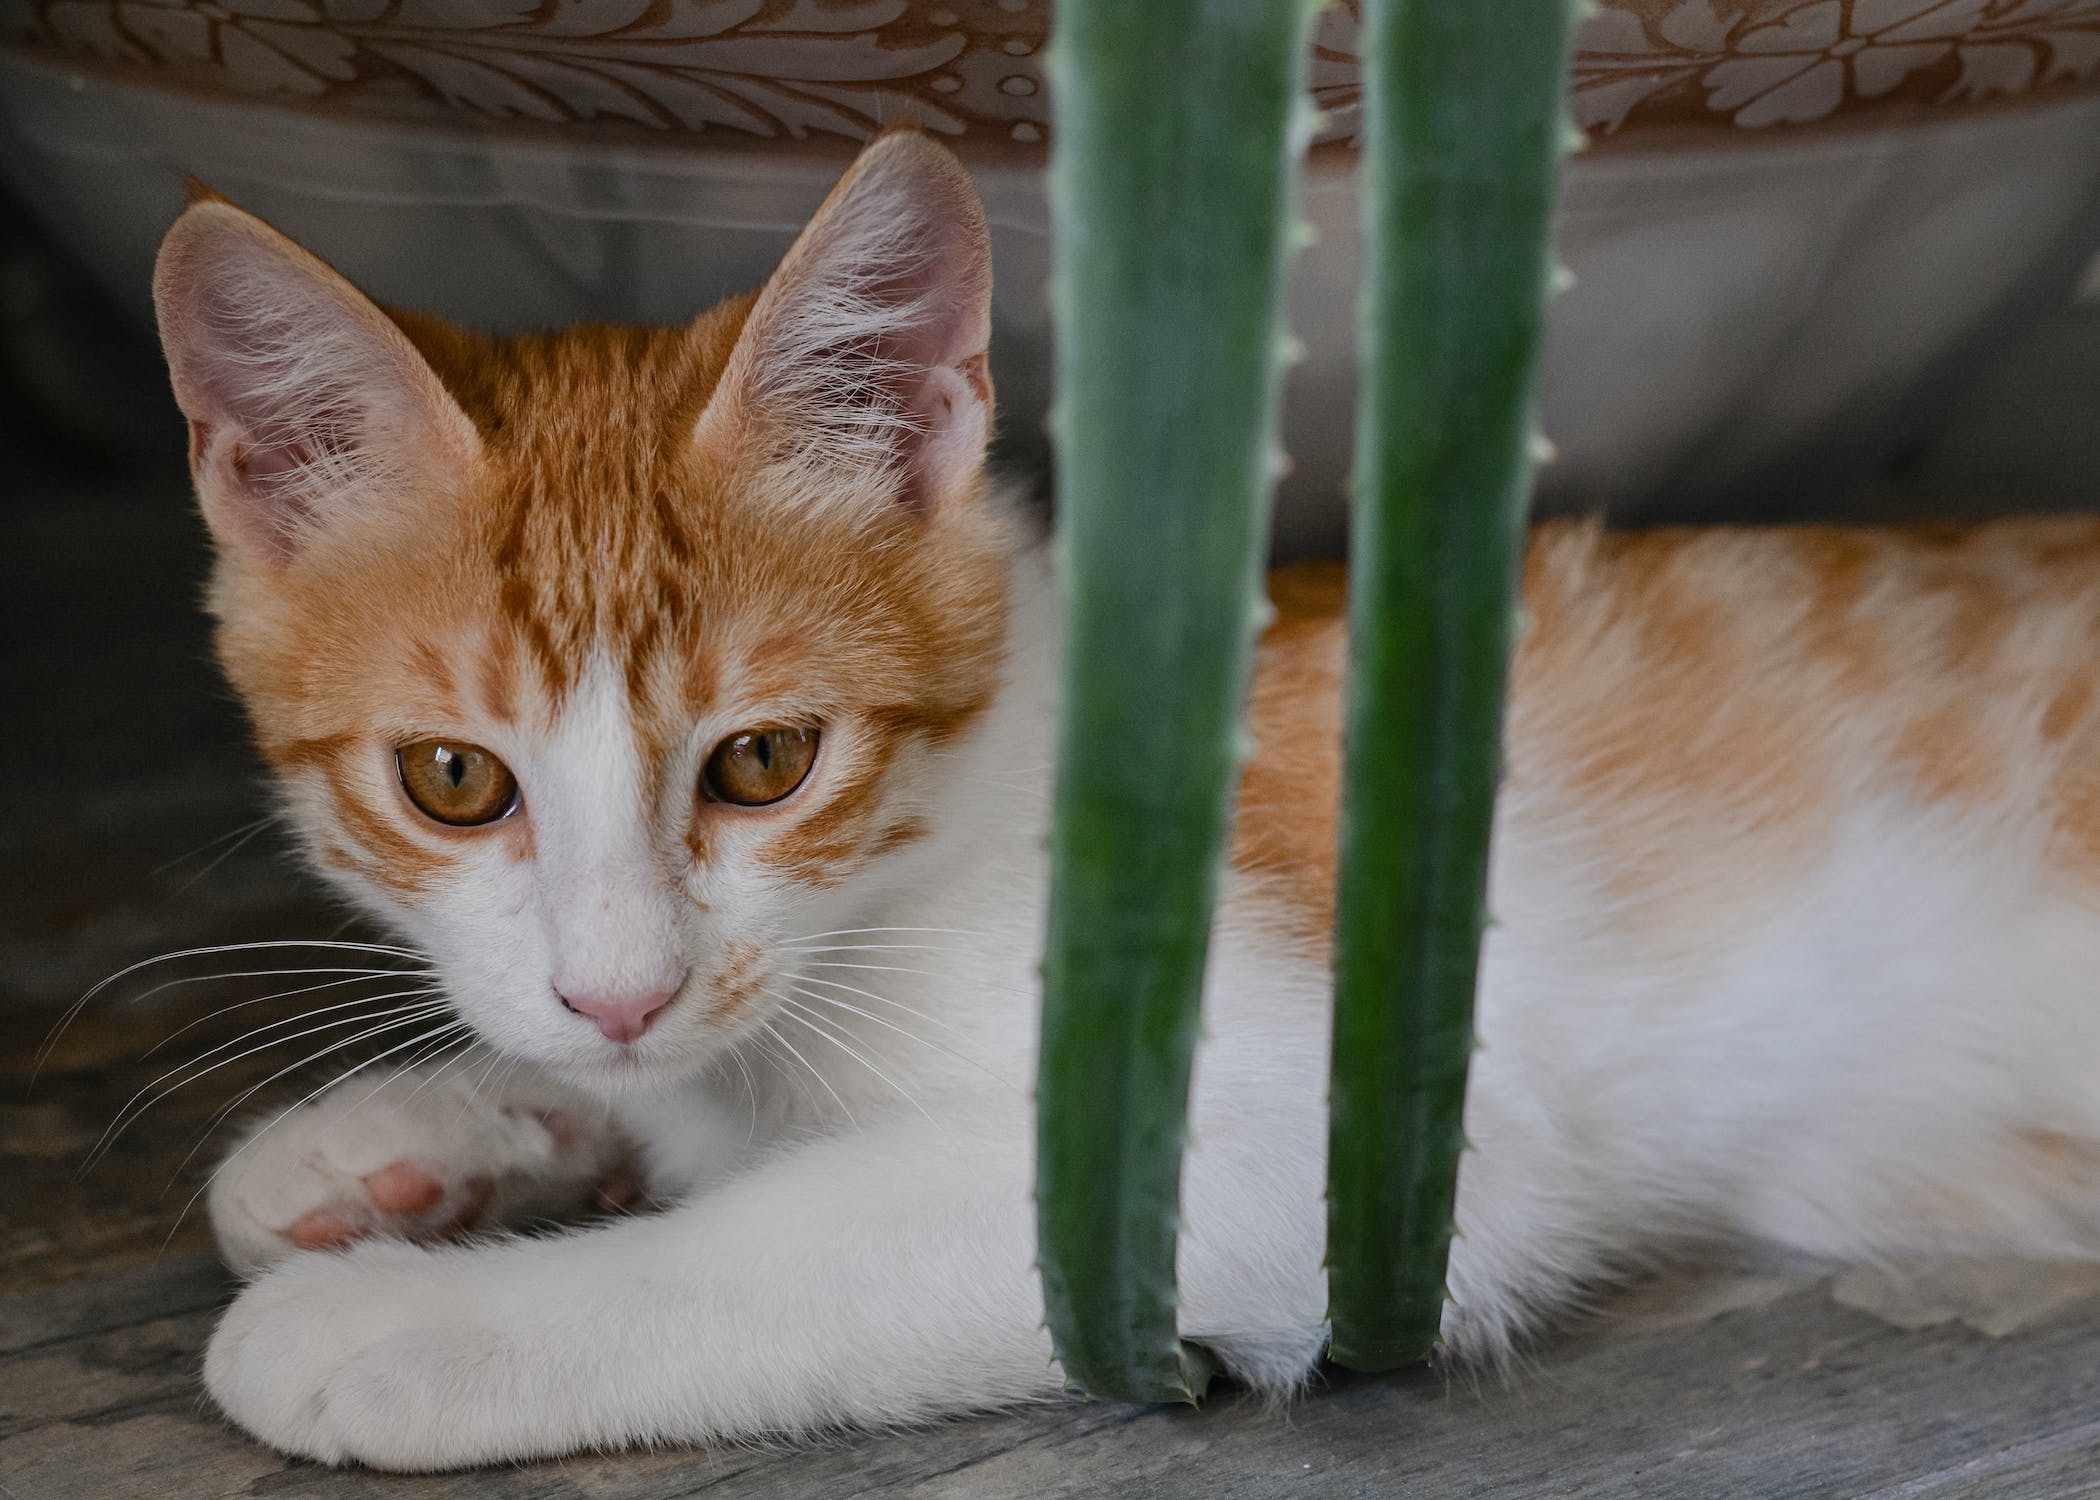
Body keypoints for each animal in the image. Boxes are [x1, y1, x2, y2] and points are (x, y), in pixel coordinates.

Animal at [150, 129, 2100, 1472]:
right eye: (454, 781)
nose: (622, 994)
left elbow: (775, 1246)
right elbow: (641, 1087)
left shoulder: (1346, 1151)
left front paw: (405, 1322)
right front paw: (398, 1140)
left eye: (765, 762)